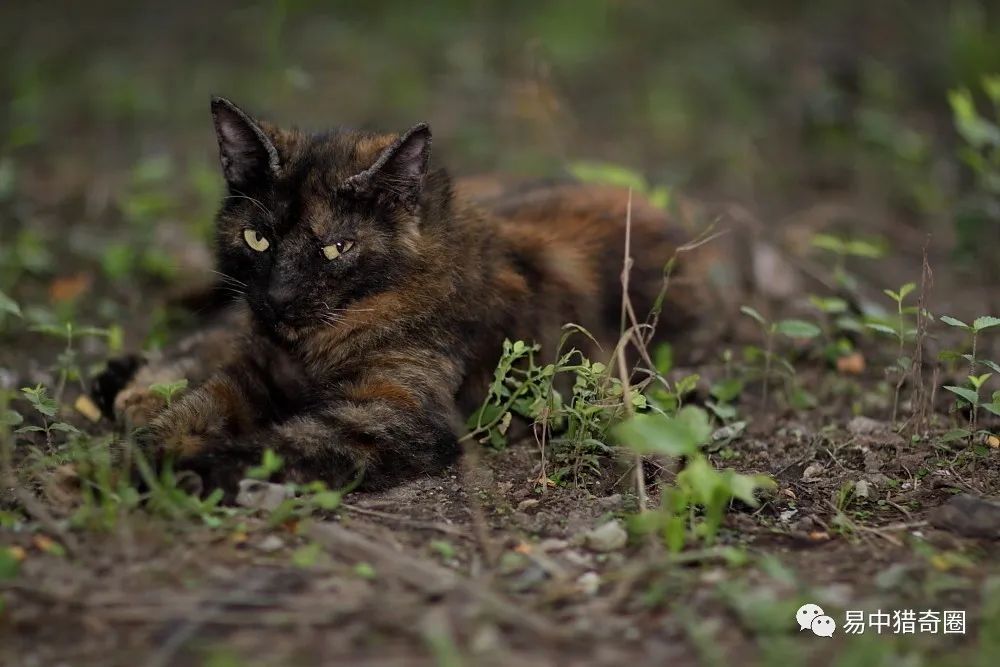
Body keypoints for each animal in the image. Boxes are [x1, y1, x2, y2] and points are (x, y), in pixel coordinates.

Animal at [94, 98, 716, 496]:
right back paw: (132, 389)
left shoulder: (394, 414)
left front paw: (182, 470)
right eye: (257, 238)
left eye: (337, 248)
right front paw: (129, 456)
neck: (315, 347)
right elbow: (192, 408)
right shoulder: (250, 370)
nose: (278, 297)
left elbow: (280, 443)